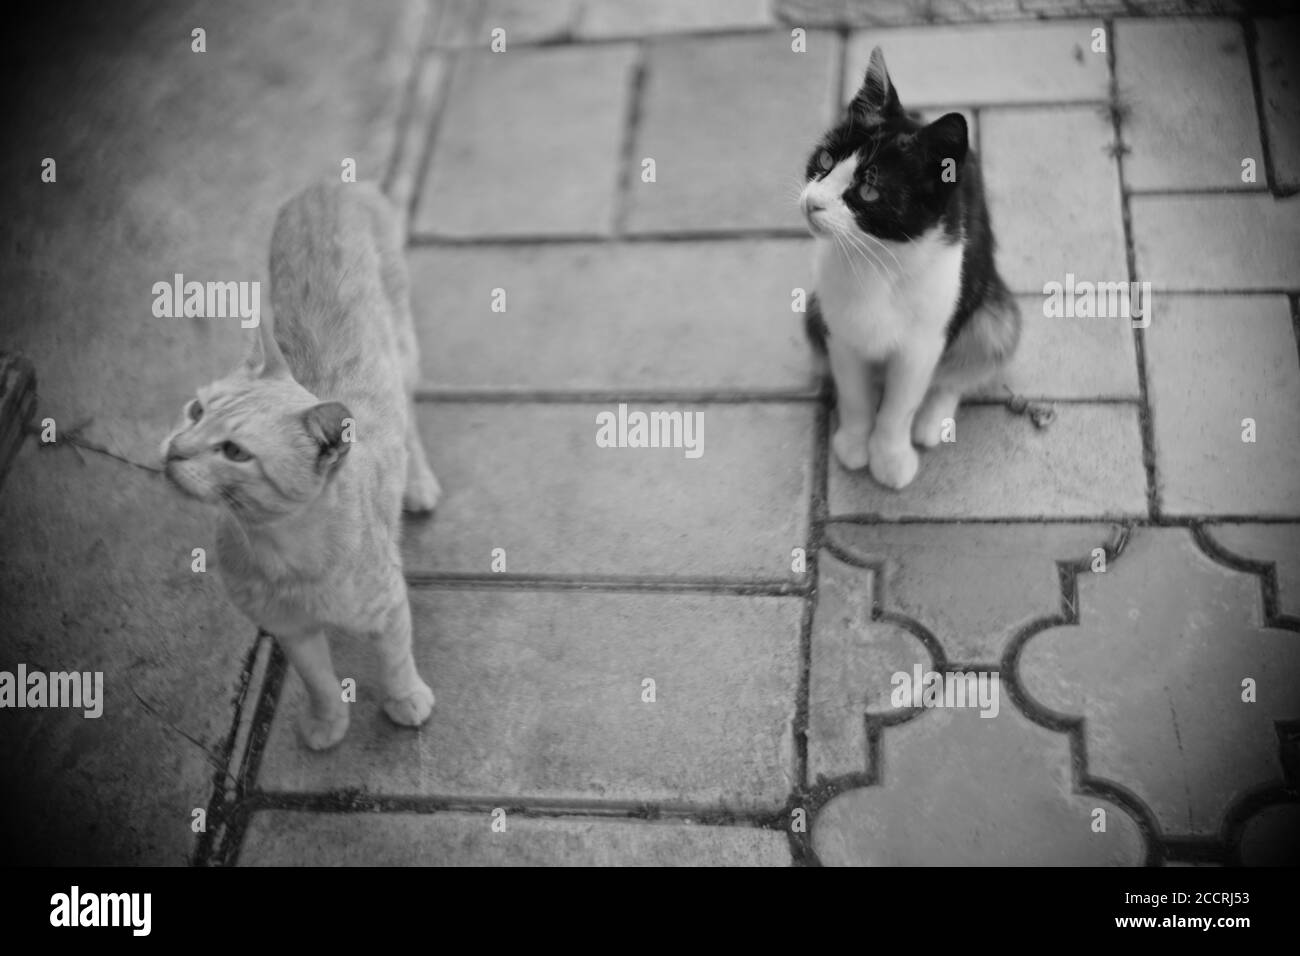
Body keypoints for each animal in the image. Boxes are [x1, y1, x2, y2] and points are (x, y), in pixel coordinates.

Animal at [163, 183, 441, 749]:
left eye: (235, 452)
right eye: (196, 411)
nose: (175, 448)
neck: (282, 554)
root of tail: (333, 184)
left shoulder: (387, 603)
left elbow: (396, 658)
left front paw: (405, 699)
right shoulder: (288, 628)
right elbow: (318, 679)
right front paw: (328, 721)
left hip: (404, 352)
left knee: (409, 415)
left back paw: (418, 481)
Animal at [795, 47, 1019, 489]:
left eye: (869, 189)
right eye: (825, 158)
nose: (812, 202)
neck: (876, 260)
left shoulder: (923, 343)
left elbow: (900, 405)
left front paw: (890, 457)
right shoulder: (840, 331)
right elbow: (855, 392)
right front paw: (854, 441)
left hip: (991, 309)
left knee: (977, 349)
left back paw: (933, 419)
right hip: (813, 311)